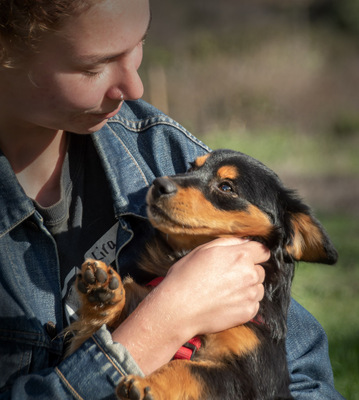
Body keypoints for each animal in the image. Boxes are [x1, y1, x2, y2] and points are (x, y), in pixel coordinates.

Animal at [69, 150, 338, 400]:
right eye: (191, 168)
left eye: (226, 187)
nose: (158, 184)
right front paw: (103, 293)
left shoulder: (249, 379)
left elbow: (187, 368)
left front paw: (147, 385)